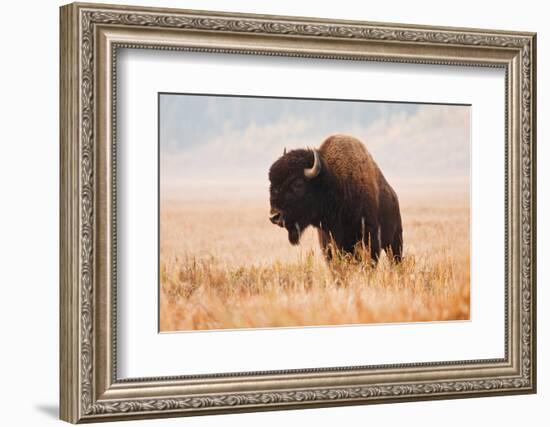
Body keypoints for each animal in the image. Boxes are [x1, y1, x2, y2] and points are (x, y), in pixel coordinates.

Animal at [270, 134, 404, 262]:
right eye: (271, 183)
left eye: (298, 184)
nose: (274, 216)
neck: (335, 183)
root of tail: (394, 195)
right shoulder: (328, 244)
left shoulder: (370, 240)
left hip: (395, 242)